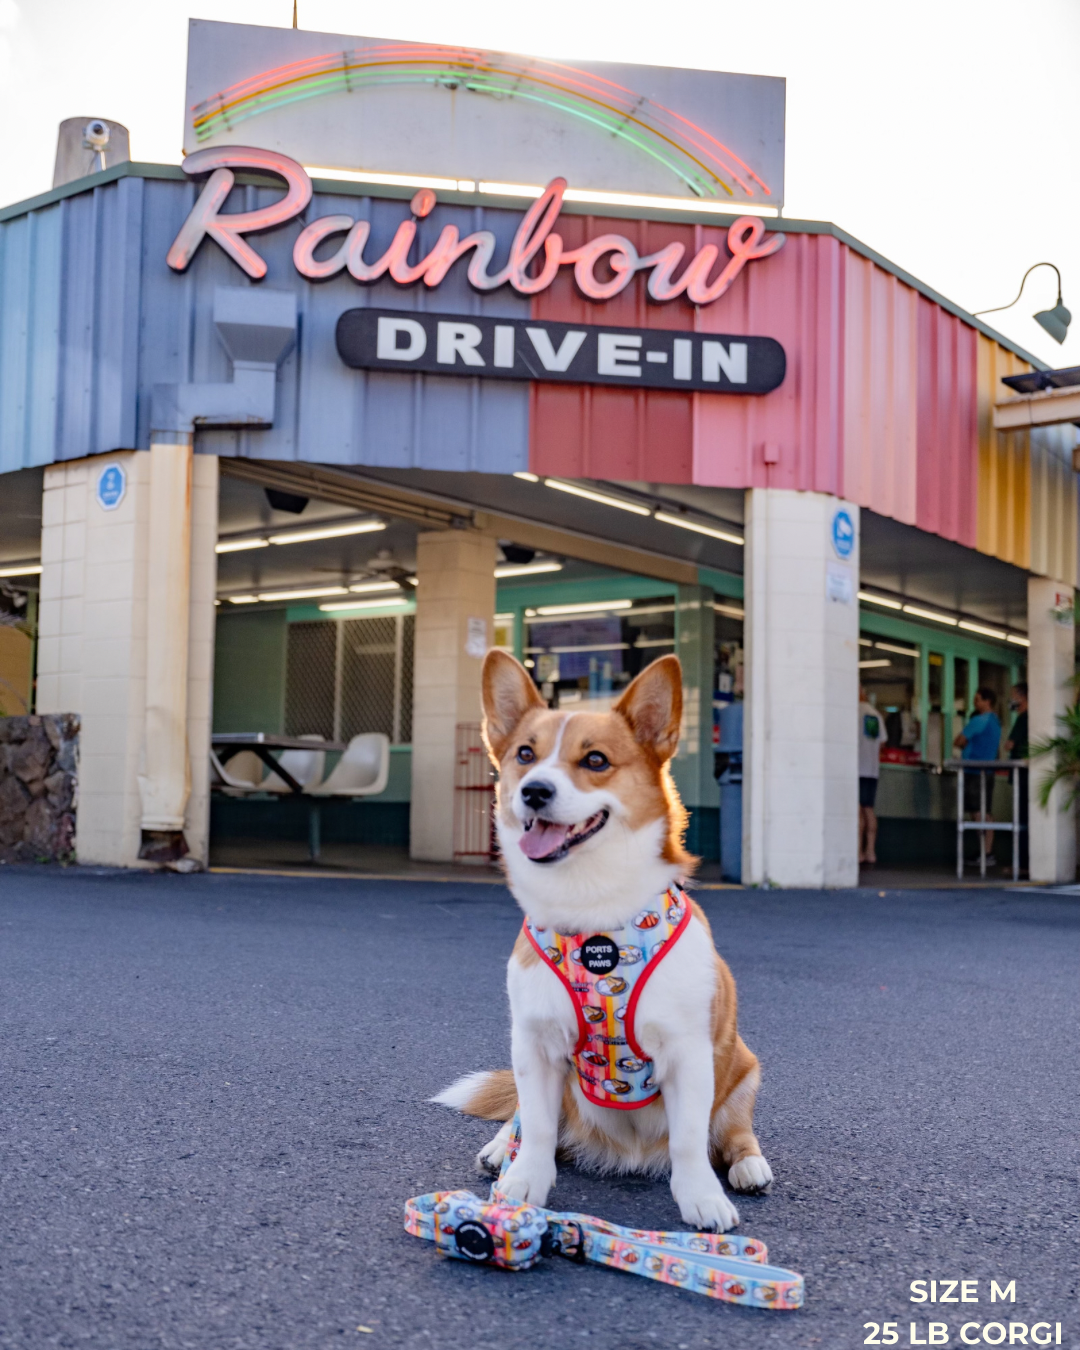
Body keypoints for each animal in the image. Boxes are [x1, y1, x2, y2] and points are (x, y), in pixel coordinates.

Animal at [434, 648, 772, 1231]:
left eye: (595, 760)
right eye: (525, 754)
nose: (534, 791)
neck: (593, 912)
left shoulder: (689, 1053)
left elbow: (689, 1140)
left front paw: (701, 1198)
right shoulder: (535, 1045)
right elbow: (537, 1127)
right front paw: (523, 1183)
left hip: (745, 1069)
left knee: (730, 1133)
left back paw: (749, 1167)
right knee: (527, 1119)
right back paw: (503, 1150)